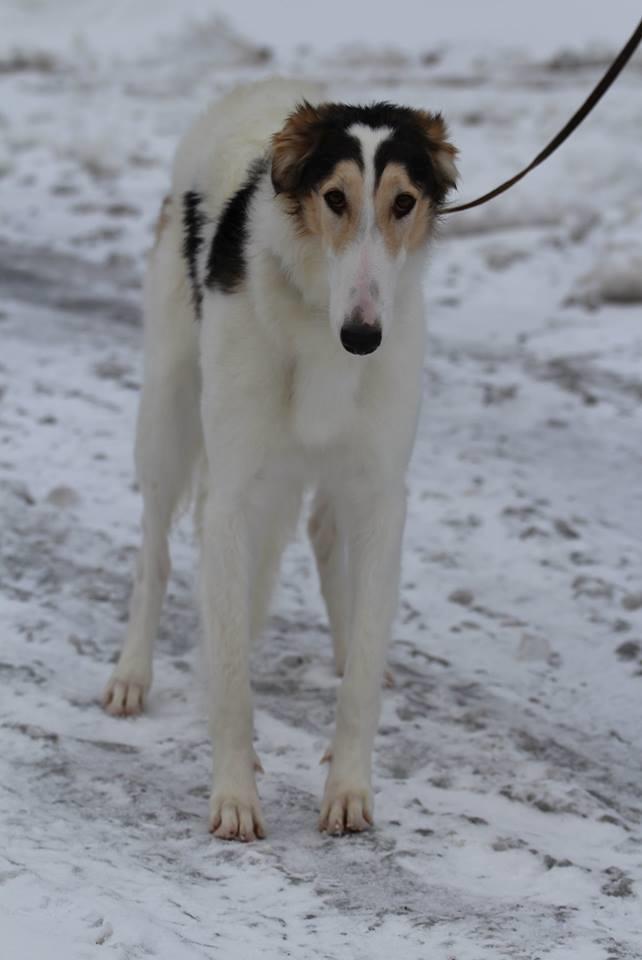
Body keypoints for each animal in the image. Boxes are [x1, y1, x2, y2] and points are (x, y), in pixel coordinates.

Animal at [102, 77, 458, 840]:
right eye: (335, 198)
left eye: (403, 203)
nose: (364, 336)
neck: (320, 320)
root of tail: (257, 90)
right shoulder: (234, 497)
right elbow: (232, 677)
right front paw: (236, 796)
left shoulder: (382, 492)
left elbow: (361, 679)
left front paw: (349, 788)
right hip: (170, 415)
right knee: (153, 554)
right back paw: (131, 675)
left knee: (323, 534)